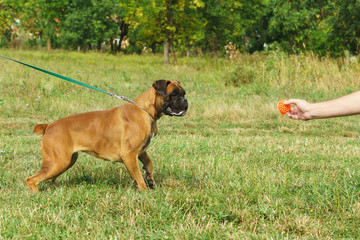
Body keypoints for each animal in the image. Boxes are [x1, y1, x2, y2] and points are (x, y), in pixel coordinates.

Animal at [25, 79, 188, 192]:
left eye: (184, 93)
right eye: (173, 94)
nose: (185, 100)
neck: (146, 111)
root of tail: (49, 126)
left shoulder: (141, 151)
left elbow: (149, 164)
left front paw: (151, 179)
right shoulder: (129, 155)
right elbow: (138, 176)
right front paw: (145, 191)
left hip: (66, 161)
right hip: (59, 162)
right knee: (31, 180)